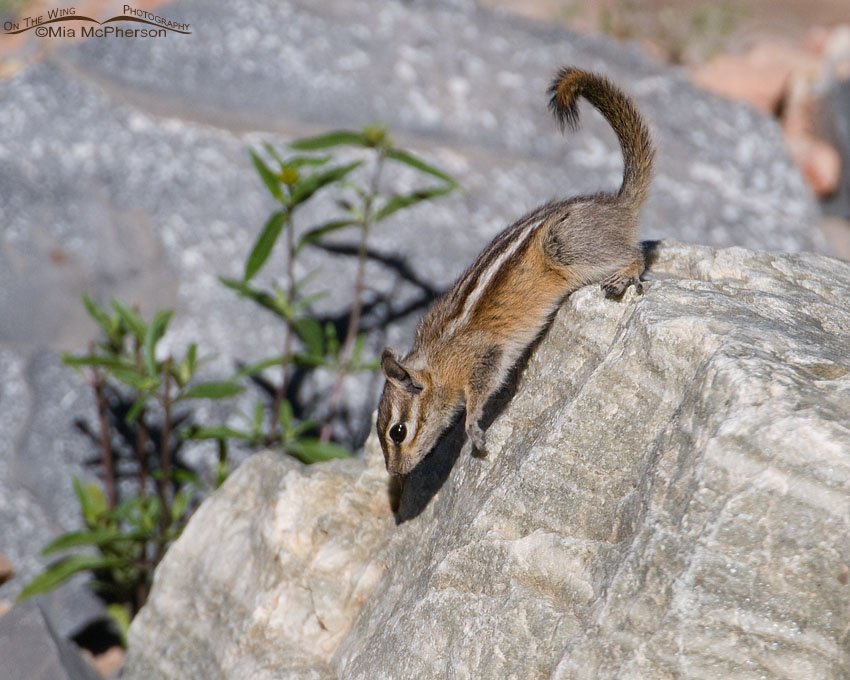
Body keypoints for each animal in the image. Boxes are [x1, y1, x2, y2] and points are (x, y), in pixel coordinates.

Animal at [376, 67, 655, 476]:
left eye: (397, 431)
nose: (395, 473)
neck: (437, 360)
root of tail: (618, 206)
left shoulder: (483, 356)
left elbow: (479, 391)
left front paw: (472, 426)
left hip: (563, 245)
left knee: (635, 252)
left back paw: (626, 274)